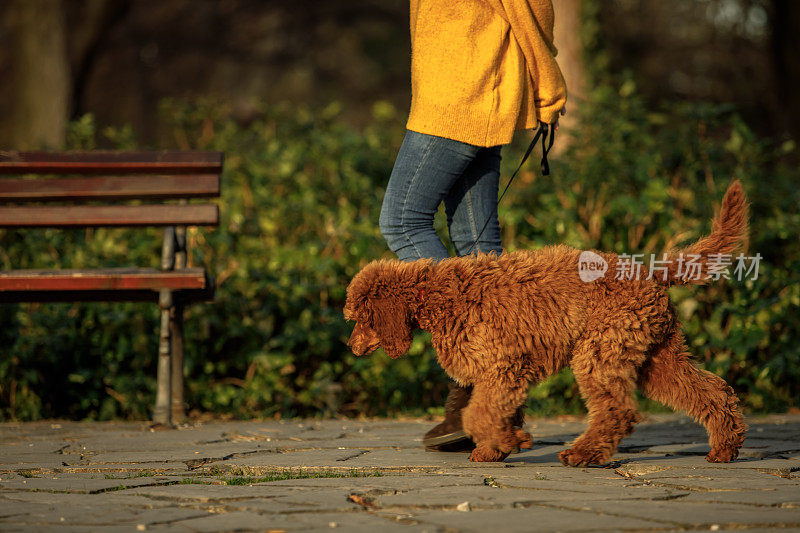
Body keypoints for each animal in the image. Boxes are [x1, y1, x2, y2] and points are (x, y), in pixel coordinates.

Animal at [344, 181, 752, 464]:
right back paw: (724, 447)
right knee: (709, 391)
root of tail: (650, 273)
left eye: (360, 318)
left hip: (599, 352)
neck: (439, 295)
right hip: (656, 357)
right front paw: (499, 447)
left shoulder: (502, 366)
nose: (351, 347)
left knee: (617, 410)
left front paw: (505, 442)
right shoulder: (504, 373)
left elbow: (479, 414)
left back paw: (584, 455)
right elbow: (495, 412)